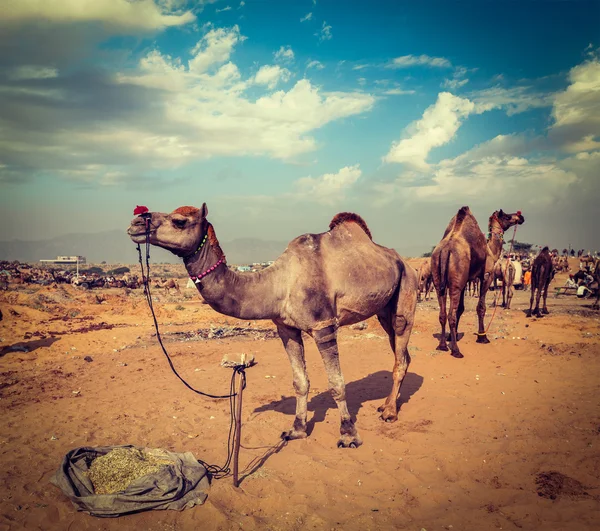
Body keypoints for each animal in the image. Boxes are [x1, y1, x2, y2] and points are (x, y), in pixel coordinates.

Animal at [126, 204, 418, 448]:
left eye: (179, 221)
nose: (136, 222)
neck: (278, 283)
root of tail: (404, 261)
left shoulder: (323, 326)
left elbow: (337, 383)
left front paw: (348, 435)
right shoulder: (286, 328)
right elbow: (300, 381)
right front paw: (296, 430)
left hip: (407, 290)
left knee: (401, 346)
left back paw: (390, 412)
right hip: (383, 311)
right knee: (401, 354)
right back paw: (385, 406)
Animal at [432, 206, 524, 360]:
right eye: (506, 216)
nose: (520, 217)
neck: (490, 250)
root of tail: (445, 250)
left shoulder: (465, 281)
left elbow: (461, 309)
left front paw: (452, 336)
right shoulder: (486, 275)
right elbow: (481, 307)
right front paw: (482, 337)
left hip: (439, 279)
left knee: (443, 313)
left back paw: (443, 345)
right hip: (456, 280)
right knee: (451, 315)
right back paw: (456, 350)